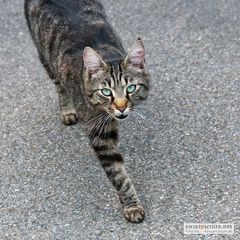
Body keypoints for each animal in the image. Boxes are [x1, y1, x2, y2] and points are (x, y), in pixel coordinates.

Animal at [25, 0, 151, 223]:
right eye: (106, 91)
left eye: (130, 88)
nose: (121, 107)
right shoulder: (101, 137)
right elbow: (119, 175)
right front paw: (131, 205)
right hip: (45, 57)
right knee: (59, 84)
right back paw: (67, 110)